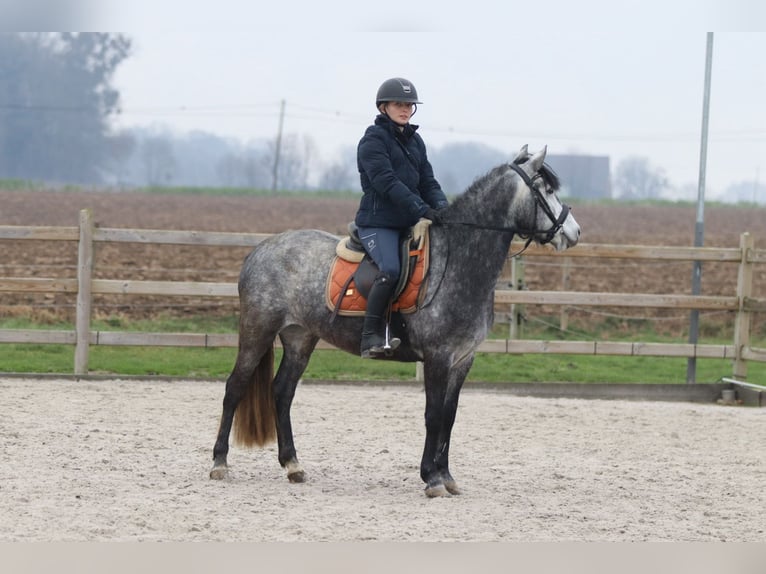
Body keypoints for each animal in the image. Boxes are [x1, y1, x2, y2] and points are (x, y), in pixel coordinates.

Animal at [210, 145, 581, 497]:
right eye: (547, 188)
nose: (574, 233)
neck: (457, 261)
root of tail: (260, 250)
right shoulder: (438, 357)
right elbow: (433, 416)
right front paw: (431, 478)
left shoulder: (463, 358)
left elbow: (449, 417)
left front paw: (447, 476)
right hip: (257, 330)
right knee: (235, 387)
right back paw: (219, 463)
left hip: (300, 337)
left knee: (282, 392)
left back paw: (292, 465)